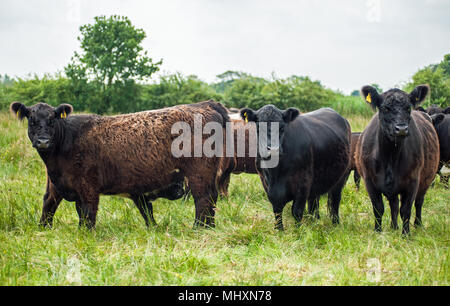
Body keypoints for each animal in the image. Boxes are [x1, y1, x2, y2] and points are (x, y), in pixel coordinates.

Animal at [10, 100, 230, 230]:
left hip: (199, 173)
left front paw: (85, 236)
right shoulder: (56, 183)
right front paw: (43, 230)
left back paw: (199, 228)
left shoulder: (88, 187)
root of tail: (206, 104)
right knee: (211, 198)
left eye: (52, 120)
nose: (43, 141)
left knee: (203, 199)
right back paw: (209, 228)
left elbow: (88, 213)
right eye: (31, 120)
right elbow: (49, 205)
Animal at [356, 85, 440, 235]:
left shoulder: (413, 181)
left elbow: (406, 210)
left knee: (419, 202)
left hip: (426, 180)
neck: (390, 156)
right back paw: (393, 226)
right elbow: (378, 208)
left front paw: (406, 234)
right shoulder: (369, 181)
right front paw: (378, 231)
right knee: (394, 204)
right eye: (385, 108)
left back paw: (418, 224)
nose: (401, 129)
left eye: (408, 108)